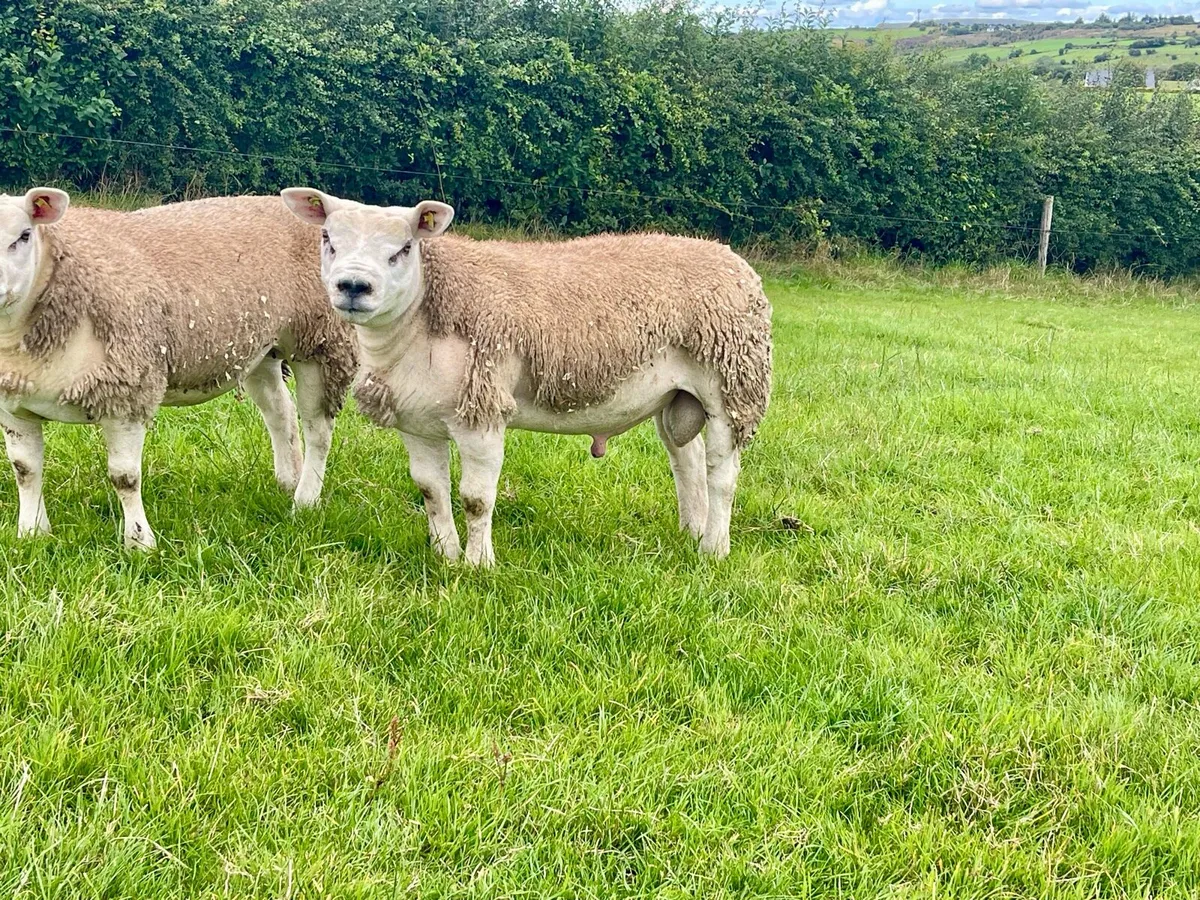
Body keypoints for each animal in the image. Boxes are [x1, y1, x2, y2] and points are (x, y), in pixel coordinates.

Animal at [0, 188, 356, 549]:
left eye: (24, 235)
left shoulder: (130, 392)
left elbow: (125, 477)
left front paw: (139, 542)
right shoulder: (14, 406)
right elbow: (25, 470)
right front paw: (31, 533)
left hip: (322, 343)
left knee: (318, 430)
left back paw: (305, 500)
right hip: (262, 349)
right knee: (281, 414)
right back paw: (288, 480)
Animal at [282, 188, 772, 564]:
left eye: (402, 249)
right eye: (327, 240)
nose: (352, 286)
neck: (426, 309)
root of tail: (727, 255)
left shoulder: (481, 413)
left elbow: (475, 499)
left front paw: (478, 565)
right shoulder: (416, 421)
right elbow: (431, 492)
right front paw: (445, 555)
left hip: (733, 384)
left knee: (722, 473)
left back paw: (714, 548)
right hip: (676, 396)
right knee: (686, 462)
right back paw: (692, 531)